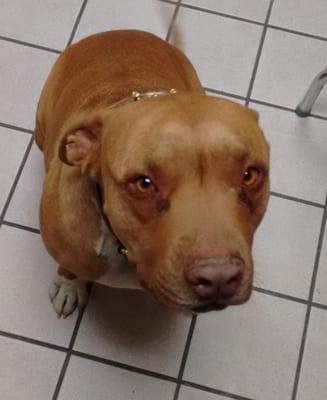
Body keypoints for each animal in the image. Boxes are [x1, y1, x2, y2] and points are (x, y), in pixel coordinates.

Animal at [34, 29, 270, 318]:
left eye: (249, 175)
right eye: (144, 183)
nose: (218, 276)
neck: (124, 250)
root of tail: (119, 32)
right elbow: (69, 268)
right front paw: (69, 287)